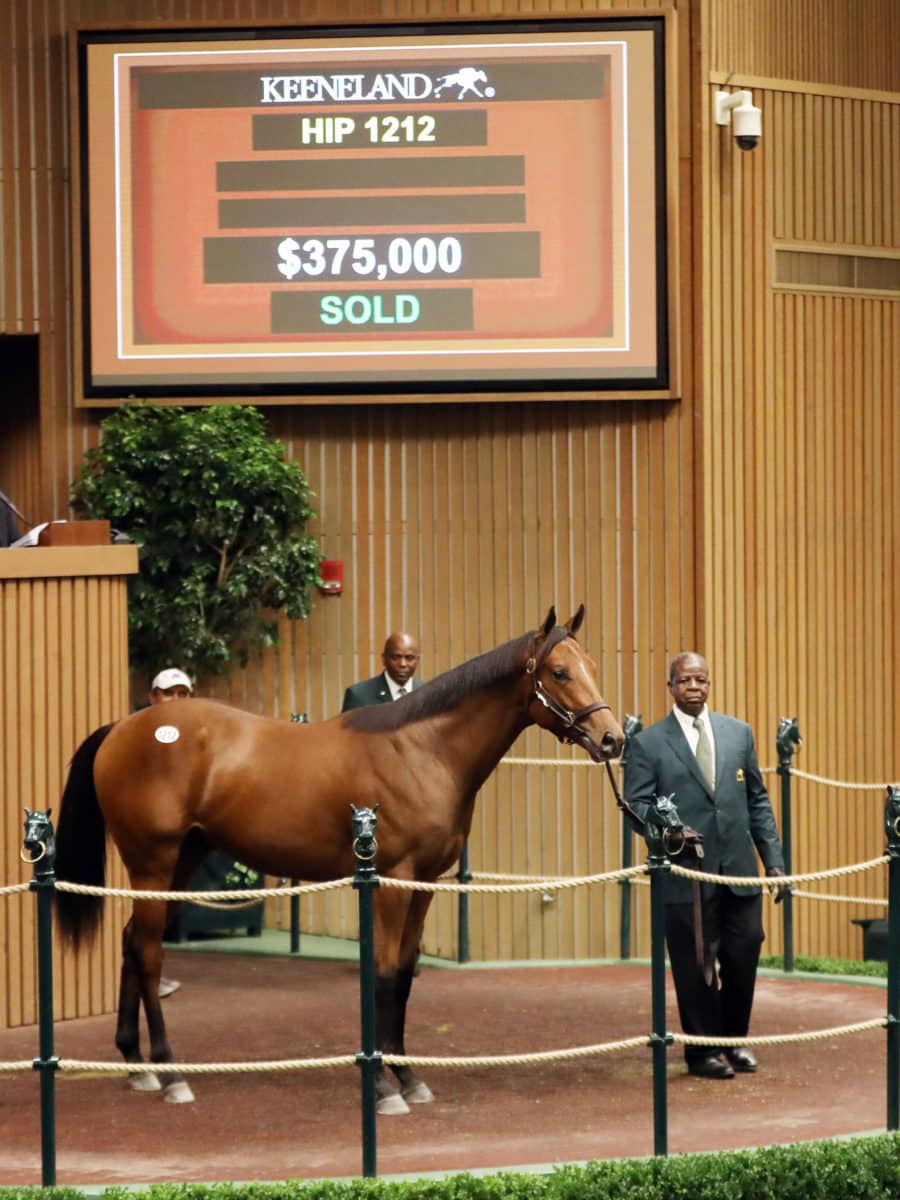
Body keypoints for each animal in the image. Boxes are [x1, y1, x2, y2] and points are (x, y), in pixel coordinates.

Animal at [54, 609, 619, 1113]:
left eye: (592, 663)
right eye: (560, 671)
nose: (613, 738)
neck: (423, 750)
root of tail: (124, 727)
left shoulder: (426, 884)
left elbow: (406, 973)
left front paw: (408, 1076)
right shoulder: (392, 882)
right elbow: (385, 973)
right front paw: (385, 1088)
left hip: (182, 864)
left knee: (132, 942)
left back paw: (136, 1064)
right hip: (152, 861)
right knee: (149, 953)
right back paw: (171, 1073)